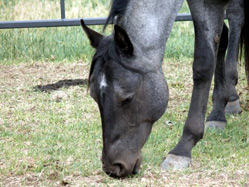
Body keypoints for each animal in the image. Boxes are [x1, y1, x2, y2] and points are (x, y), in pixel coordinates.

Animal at [80, 0, 248, 178]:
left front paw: (182, 149)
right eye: (94, 96)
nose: (113, 168)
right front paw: (217, 113)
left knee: (236, 17)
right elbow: (216, 44)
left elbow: (204, 64)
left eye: (127, 98)